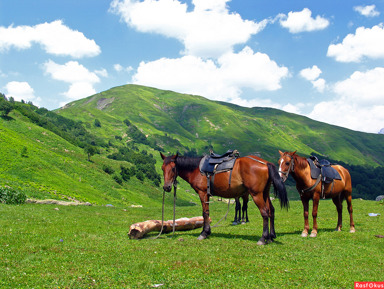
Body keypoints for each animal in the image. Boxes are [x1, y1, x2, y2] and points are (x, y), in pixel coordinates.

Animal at [159, 152, 288, 244]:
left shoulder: (203, 193)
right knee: (271, 211)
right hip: (265, 194)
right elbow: (207, 213)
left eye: (173, 168)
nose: (166, 187)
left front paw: (204, 233)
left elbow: (205, 213)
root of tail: (265, 163)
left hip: (256, 194)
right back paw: (271, 237)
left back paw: (263, 238)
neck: (196, 169)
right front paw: (207, 232)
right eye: (162, 168)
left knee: (265, 213)